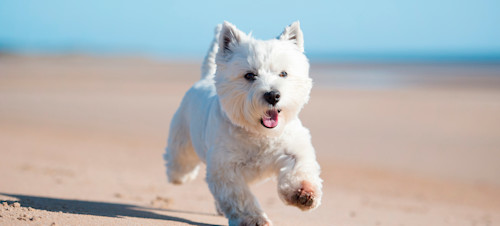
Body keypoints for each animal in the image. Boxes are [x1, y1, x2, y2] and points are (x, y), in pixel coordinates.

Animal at [163, 21, 320, 226]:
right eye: (250, 75)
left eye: (283, 73)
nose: (273, 95)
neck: (259, 133)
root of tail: (205, 78)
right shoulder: (225, 169)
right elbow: (240, 198)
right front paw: (254, 219)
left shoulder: (293, 149)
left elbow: (300, 168)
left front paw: (303, 193)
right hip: (183, 139)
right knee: (180, 161)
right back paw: (178, 176)